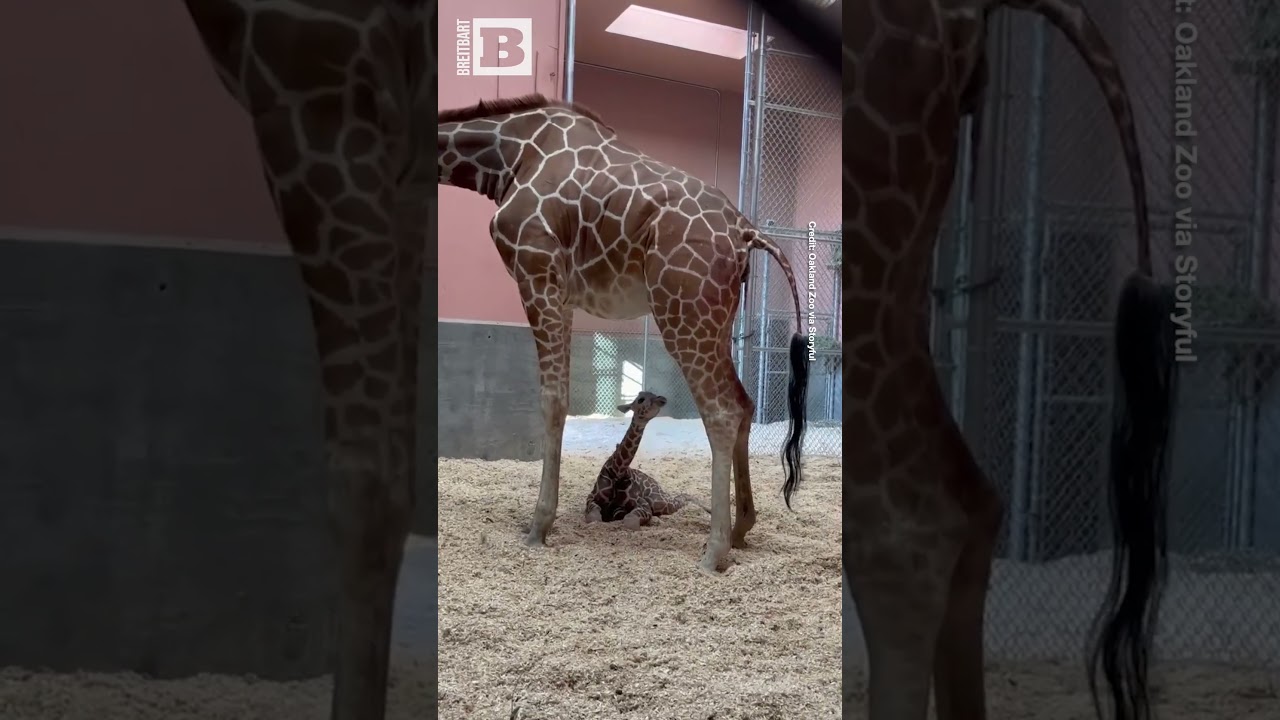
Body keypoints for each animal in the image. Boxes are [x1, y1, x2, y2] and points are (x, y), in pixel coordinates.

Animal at [586, 392, 716, 527]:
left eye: (653, 394)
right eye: (640, 399)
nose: (662, 399)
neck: (617, 470)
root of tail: (658, 485)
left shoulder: (643, 504)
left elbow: (630, 521)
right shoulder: (591, 498)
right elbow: (594, 517)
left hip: (660, 502)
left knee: (680, 497)